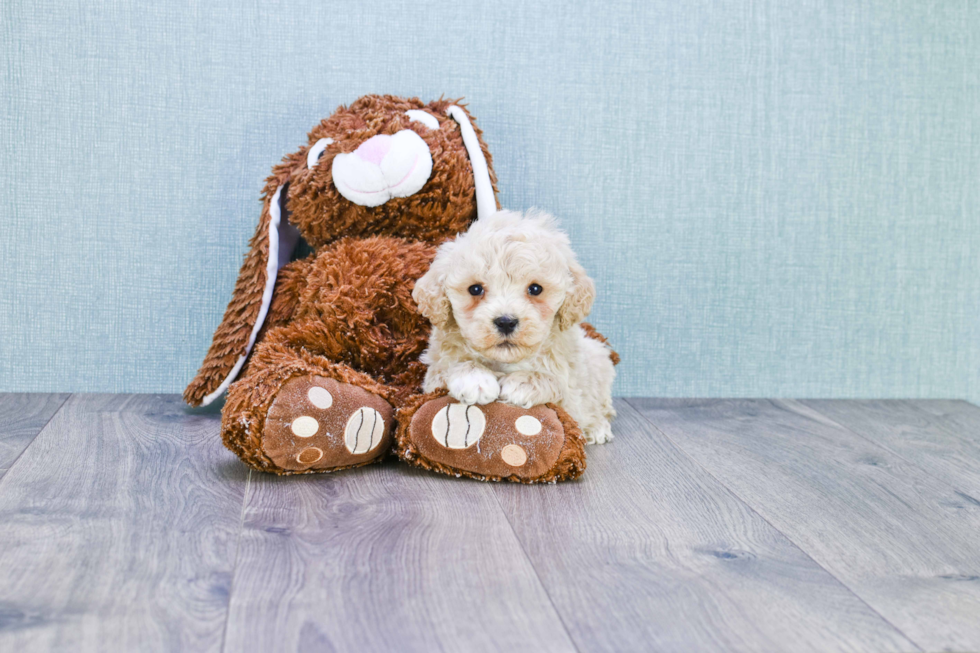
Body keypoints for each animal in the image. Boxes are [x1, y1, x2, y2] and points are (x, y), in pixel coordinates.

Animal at [412, 209, 612, 444]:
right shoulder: (433, 376)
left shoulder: (572, 394)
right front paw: (475, 379)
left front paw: (524, 383)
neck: (504, 361)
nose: (506, 321)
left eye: (535, 289)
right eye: (475, 289)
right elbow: (452, 366)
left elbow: (558, 384)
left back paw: (598, 427)